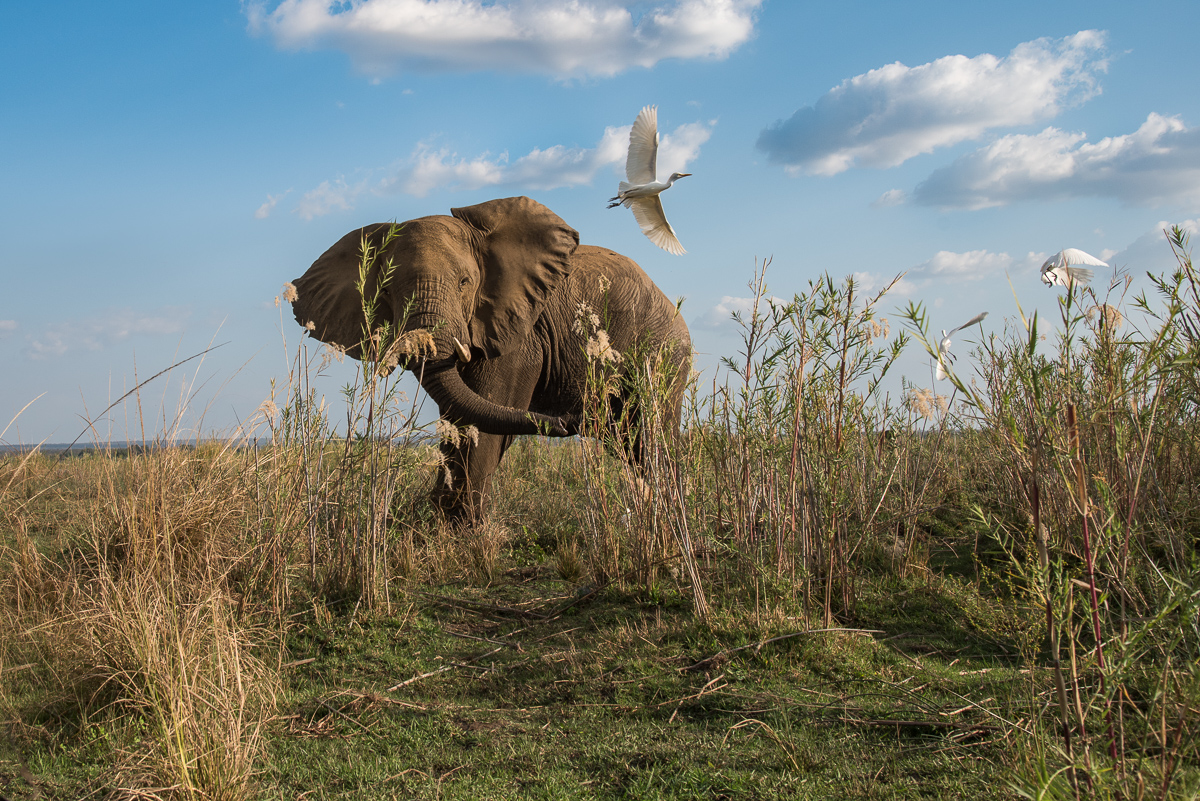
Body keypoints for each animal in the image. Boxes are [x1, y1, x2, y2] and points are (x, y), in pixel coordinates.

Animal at [290, 196, 692, 521]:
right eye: (386, 291)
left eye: (465, 283)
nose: (569, 421)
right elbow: (463, 413)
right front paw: (445, 522)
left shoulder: (519, 336)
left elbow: (484, 414)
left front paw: (462, 528)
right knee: (630, 441)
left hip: (663, 351)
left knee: (651, 436)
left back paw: (670, 515)